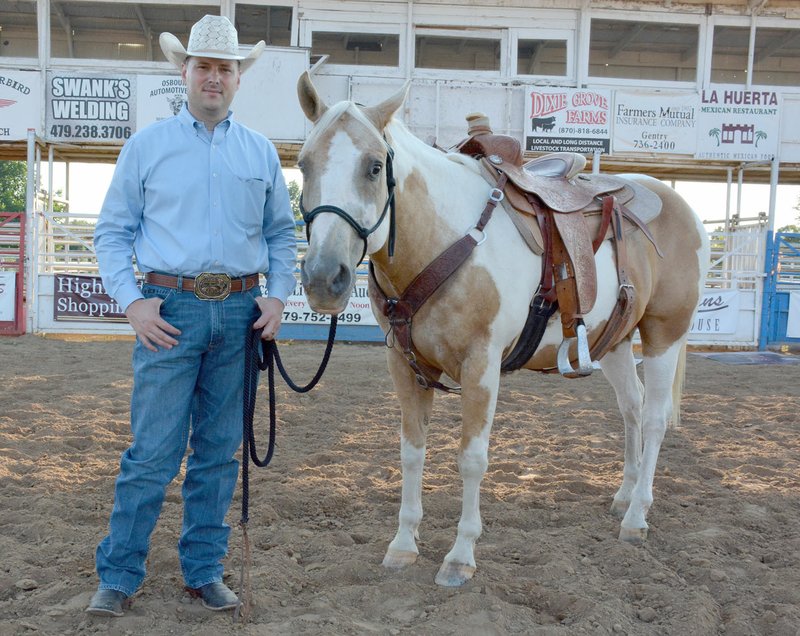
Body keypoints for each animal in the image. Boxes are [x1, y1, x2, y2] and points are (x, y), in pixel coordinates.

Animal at [296, 72, 708, 588]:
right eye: (302, 164)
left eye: (374, 167)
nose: (322, 278)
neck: (447, 237)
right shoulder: (404, 365)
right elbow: (412, 452)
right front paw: (403, 545)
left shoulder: (481, 365)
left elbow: (472, 459)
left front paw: (459, 556)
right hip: (613, 341)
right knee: (631, 409)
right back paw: (623, 496)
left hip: (663, 333)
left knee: (653, 418)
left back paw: (637, 516)